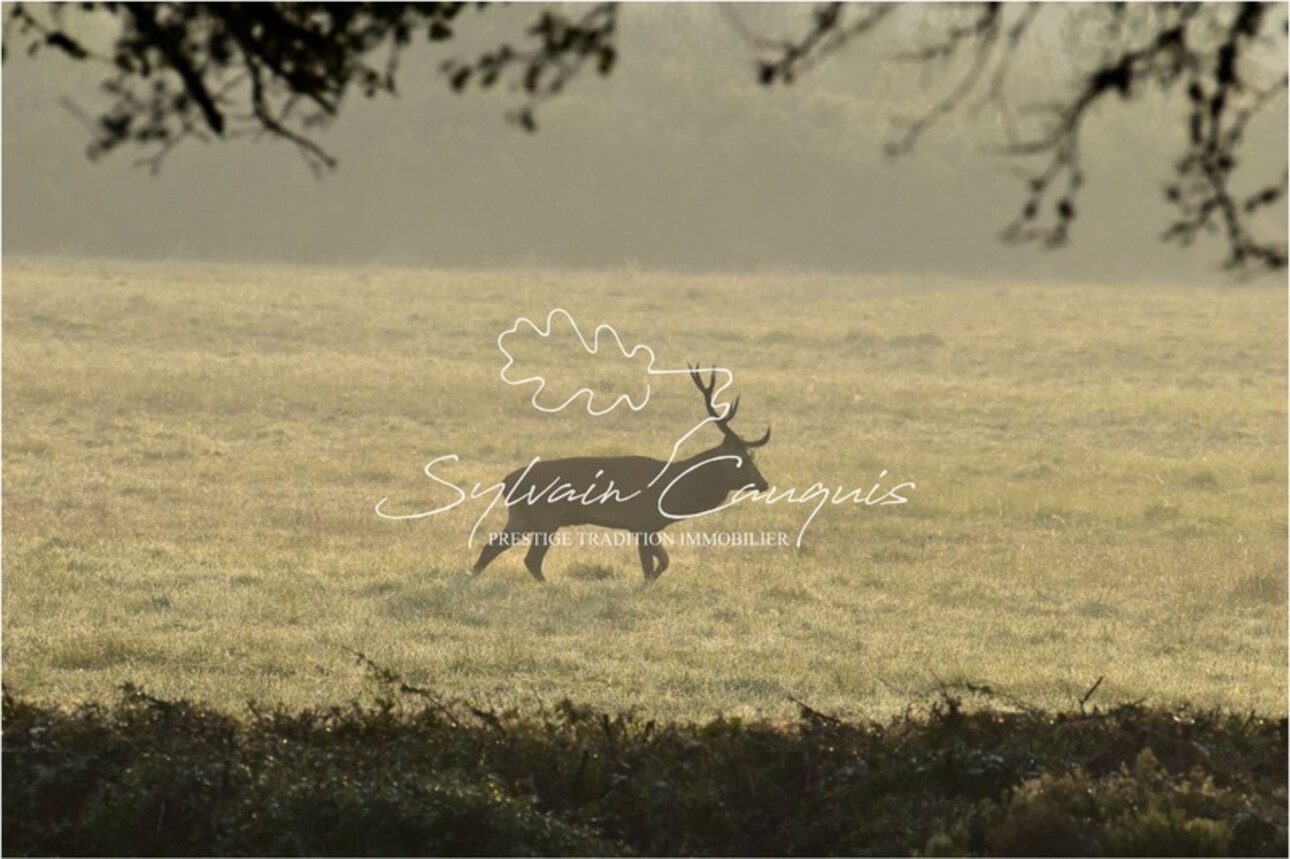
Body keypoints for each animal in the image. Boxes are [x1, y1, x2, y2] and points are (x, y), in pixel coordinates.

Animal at [479, 361, 768, 582]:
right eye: (739, 460)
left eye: (752, 456)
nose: (764, 483)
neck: (673, 495)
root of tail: (506, 481)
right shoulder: (641, 521)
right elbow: (651, 567)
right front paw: (643, 588)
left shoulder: (648, 526)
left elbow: (663, 561)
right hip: (545, 518)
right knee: (530, 559)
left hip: (522, 517)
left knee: (491, 546)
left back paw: (473, 580)